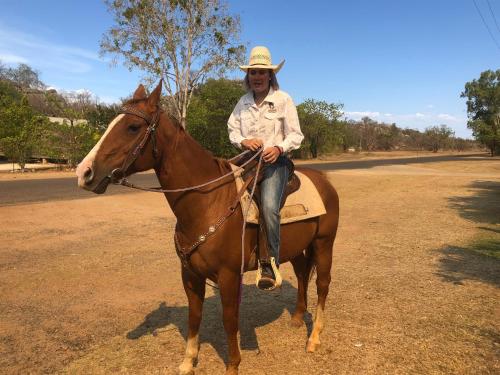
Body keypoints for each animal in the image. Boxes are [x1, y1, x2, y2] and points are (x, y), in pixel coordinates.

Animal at [75, 82, 340, 375]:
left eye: (132, 127)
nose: (84, 172)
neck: (208, 202)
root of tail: (324, 180)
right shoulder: (190, 274)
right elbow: (194, 316)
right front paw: (188, 362)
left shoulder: (228, 276)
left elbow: (229, 319)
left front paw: (233, 365)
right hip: (296, 249)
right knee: (304, 273)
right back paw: (296, 318)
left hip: (324, 243)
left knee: (323, 284)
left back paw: (314, 338)